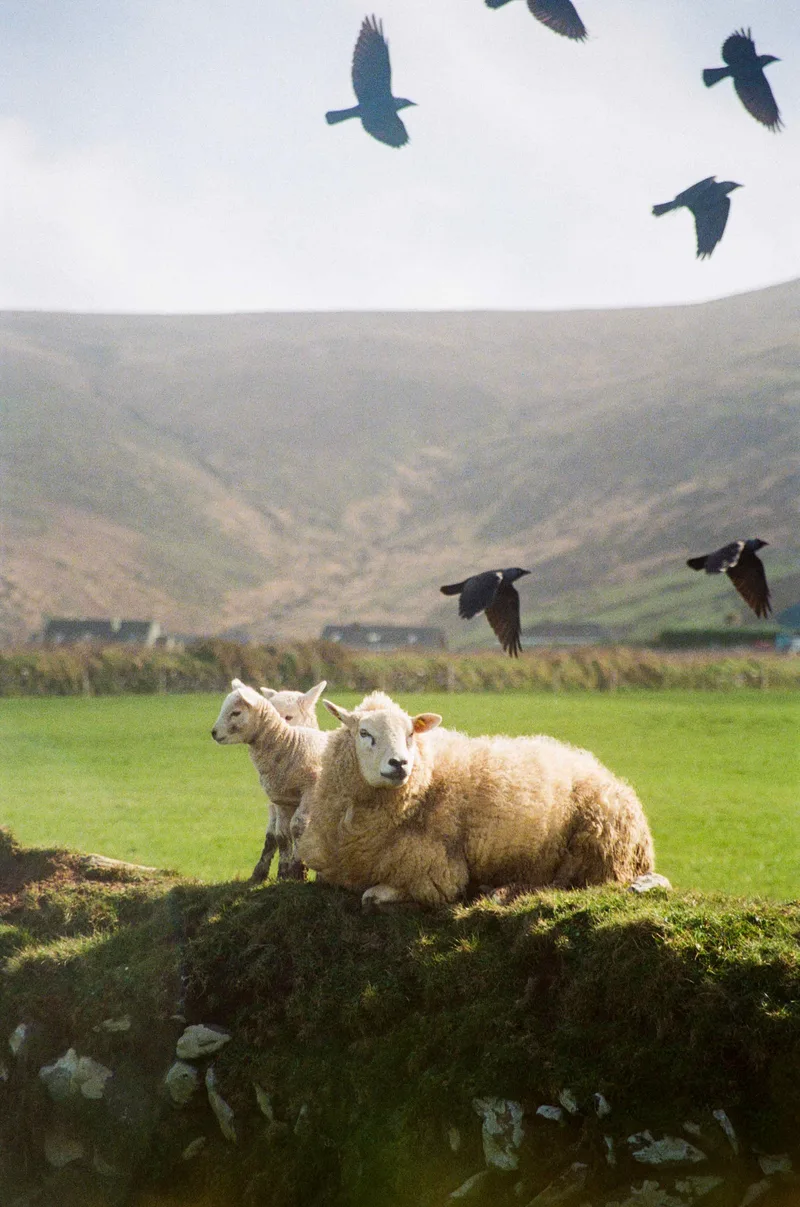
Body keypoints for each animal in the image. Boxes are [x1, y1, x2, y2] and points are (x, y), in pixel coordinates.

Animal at [211, 679, 329, 883]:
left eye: (236, 712)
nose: (214, 733)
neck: (288, 742)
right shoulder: (282, 799)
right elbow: (281, 833)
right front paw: (284, 872)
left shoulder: (310, 791)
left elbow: (297, 826)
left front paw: (298, 870)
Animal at [298, 691, 655, 909]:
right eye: (364, 733)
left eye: (411, 734)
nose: (399, 764)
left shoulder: (438, 873)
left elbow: (374, 894)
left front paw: (380, 894)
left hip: (593, 847)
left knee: (567, 885)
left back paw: (501, 891)